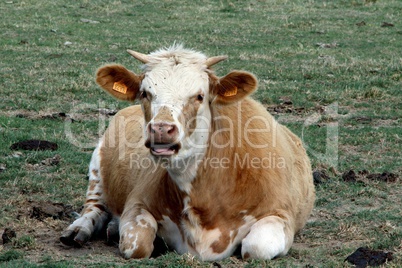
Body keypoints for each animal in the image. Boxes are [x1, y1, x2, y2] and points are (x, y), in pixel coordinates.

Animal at [60, 45, 318, 260]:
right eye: (145, 93)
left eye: (199, 96)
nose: (161, 129)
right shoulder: (137, 203)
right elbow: (136, 245)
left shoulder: (280, 214)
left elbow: (257, 248)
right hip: (97, 165)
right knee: (94, 208)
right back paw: (78, 230)